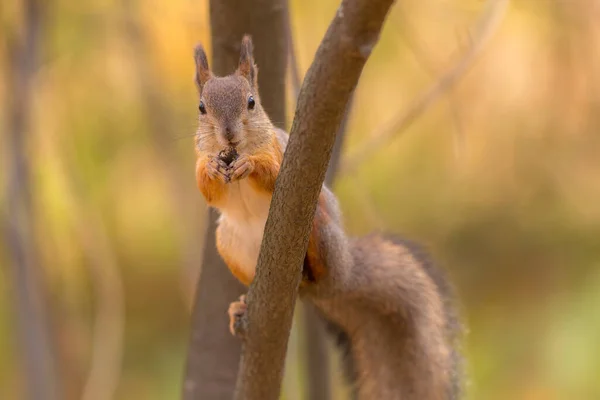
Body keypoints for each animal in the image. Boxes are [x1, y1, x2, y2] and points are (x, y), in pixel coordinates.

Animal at [195, 35, 462, 400]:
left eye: (251, 102)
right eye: (201, 108)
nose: (229, 134)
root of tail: (345, 274)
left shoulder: (281, 153)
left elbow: (272, 174)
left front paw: (249, 164)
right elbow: (209, 191)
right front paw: (211, 167)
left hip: (320, 229)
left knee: (318, 273)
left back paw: (308, 271)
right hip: (229, 245)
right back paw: (241, 306)